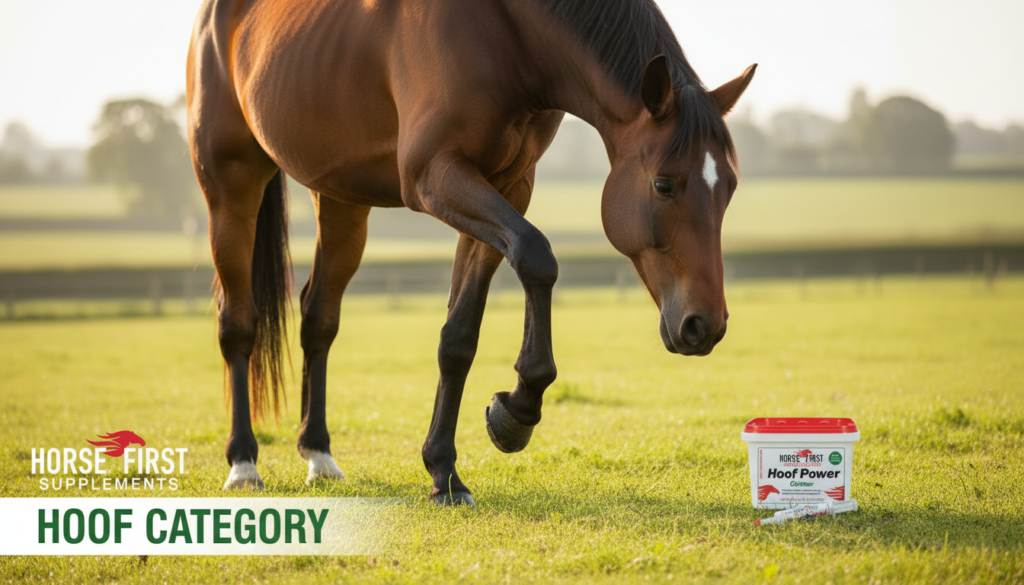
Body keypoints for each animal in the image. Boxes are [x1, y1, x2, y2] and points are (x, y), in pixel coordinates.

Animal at [186, 0, 755, 505]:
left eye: (729, 187)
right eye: (664, 185)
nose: (705, 324)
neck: (507, 35)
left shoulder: (506, 186)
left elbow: (458, 338)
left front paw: (446, 470)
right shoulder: (435, 174)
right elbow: (537, 255)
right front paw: (517, 410)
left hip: (341, 200)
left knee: (318, 319)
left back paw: (319, 455)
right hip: (230, 188)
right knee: (237, 323)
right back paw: (243, 463)